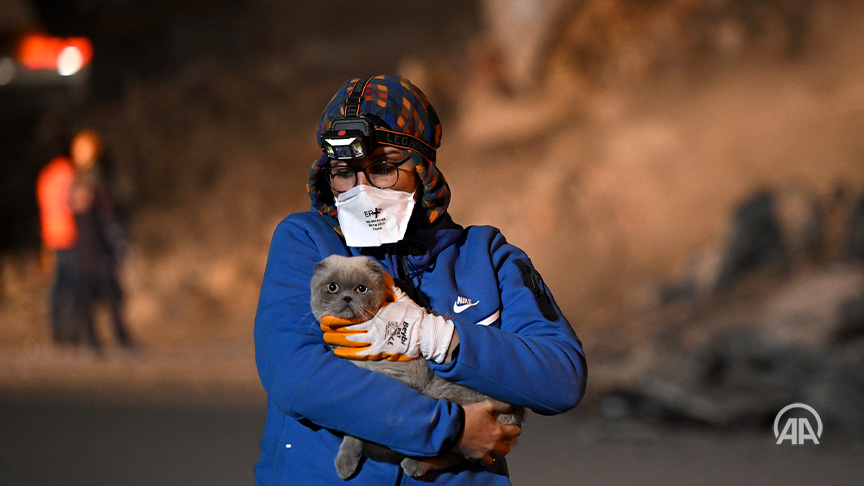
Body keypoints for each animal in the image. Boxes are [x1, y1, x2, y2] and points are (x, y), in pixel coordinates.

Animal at [312, 256, 528, 480]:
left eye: (361, 289)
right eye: (332, 287)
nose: (346, 298)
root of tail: (518, 412)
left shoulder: (392, 382)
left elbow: (355, 432)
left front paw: (345, 464)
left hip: (444, 394)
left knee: (455, 453)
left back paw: (414, 464)